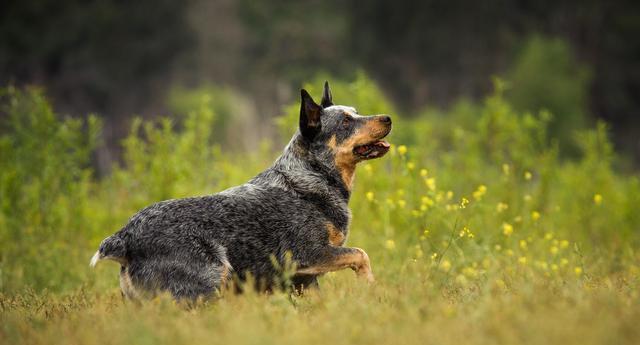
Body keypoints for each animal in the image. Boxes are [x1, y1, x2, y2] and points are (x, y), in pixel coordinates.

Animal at [89, 82, 390, 300]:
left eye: (357, 111)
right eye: (346, 122)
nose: (387, 117)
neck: (312, 176)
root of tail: (125, 236)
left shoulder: (303, 280)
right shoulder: (308, 255)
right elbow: (361, 254)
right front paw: (371, 287)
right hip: (211, 280)